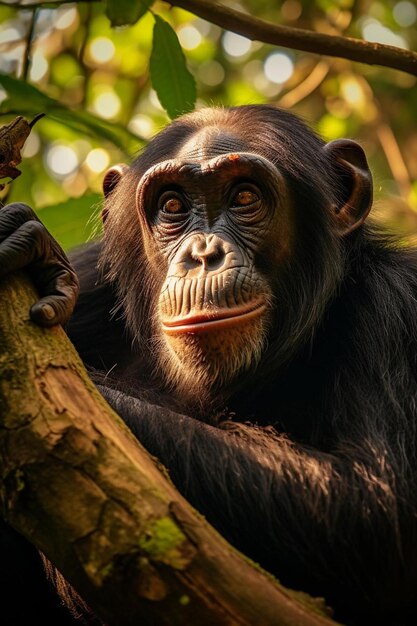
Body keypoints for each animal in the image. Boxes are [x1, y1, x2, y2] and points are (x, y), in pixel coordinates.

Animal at [0, 105, 416, 620]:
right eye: (173, 206)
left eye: (244, 196)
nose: (203, 254)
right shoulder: (95, 274)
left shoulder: (395, 307)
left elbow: (372, 505)